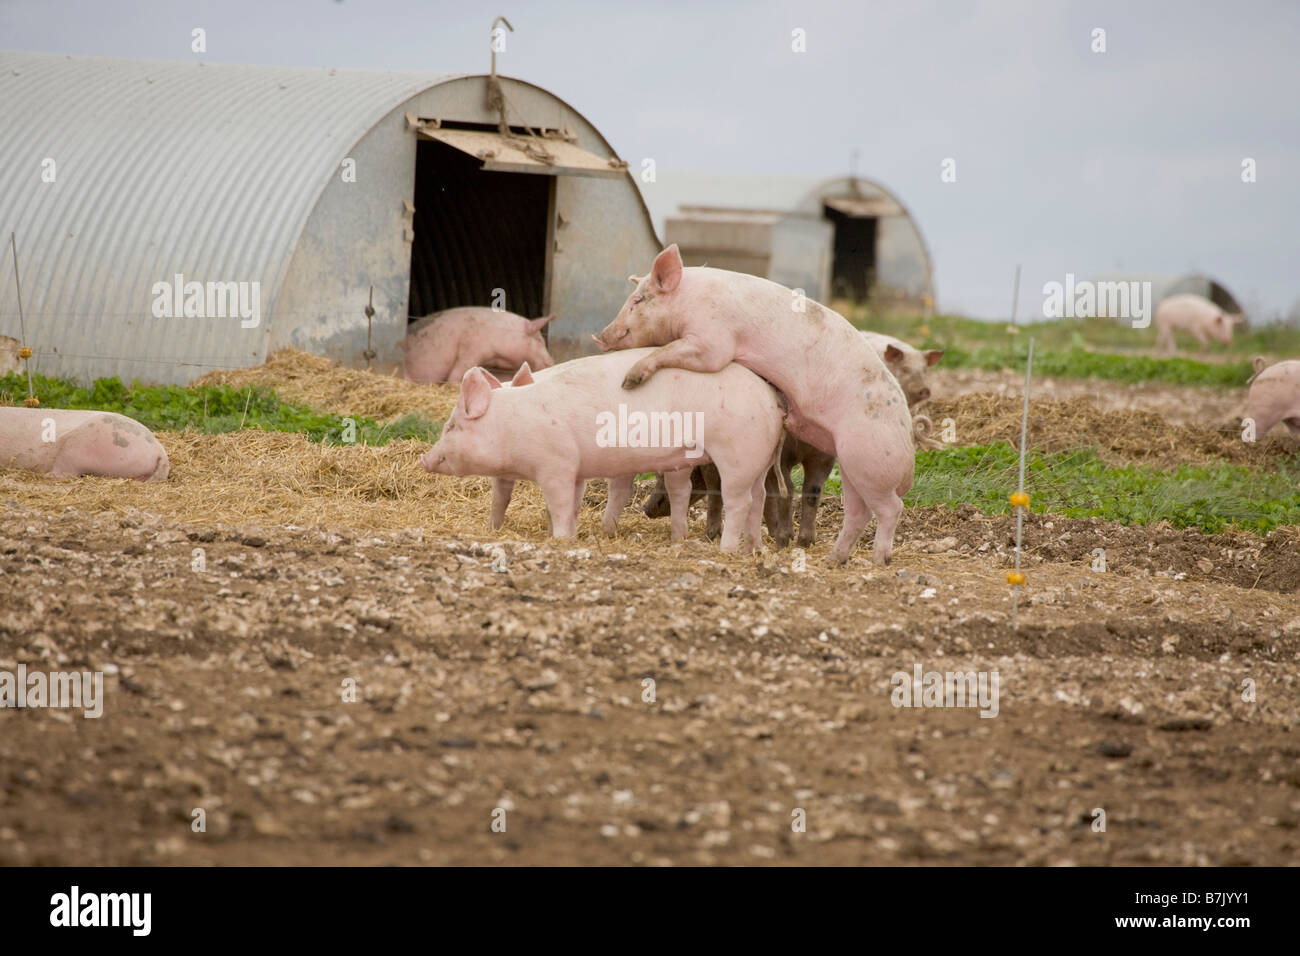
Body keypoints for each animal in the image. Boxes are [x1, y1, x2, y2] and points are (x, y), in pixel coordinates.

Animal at [421, 348, 780, 554]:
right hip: (759, 461)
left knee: (739, 502)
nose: (425, 458)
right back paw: (753, 548)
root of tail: (770, 400)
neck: (513, 423)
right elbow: (560, 504)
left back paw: (727, 550)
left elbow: (559, 503)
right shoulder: (575, 470)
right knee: (759, 498)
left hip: (737, 454)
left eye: (451, 426)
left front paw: (559, 540)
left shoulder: (557, 465)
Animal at [595, 243, 915, 564]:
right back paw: (833, 559)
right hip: (850, 464)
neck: (688, 299)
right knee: (858, 511)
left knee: (892, 508)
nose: (600, 337)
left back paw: (879, 559)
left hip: (869, 460)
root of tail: (909, 448)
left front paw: (630, 380)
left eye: (638, 300)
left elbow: (679, 350)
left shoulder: (712, 340)